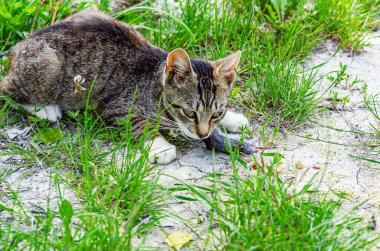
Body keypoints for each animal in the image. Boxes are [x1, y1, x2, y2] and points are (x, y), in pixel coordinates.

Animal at [1, 9, 255, 164]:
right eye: (189, 113)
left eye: (216, 114)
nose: (203, 134)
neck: (154, 84)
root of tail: (18, 47)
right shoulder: (116, 109)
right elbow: (141, 124)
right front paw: (160, 147)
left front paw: (232, 119)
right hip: (48, 65)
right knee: (7, 89)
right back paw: (45, 109)